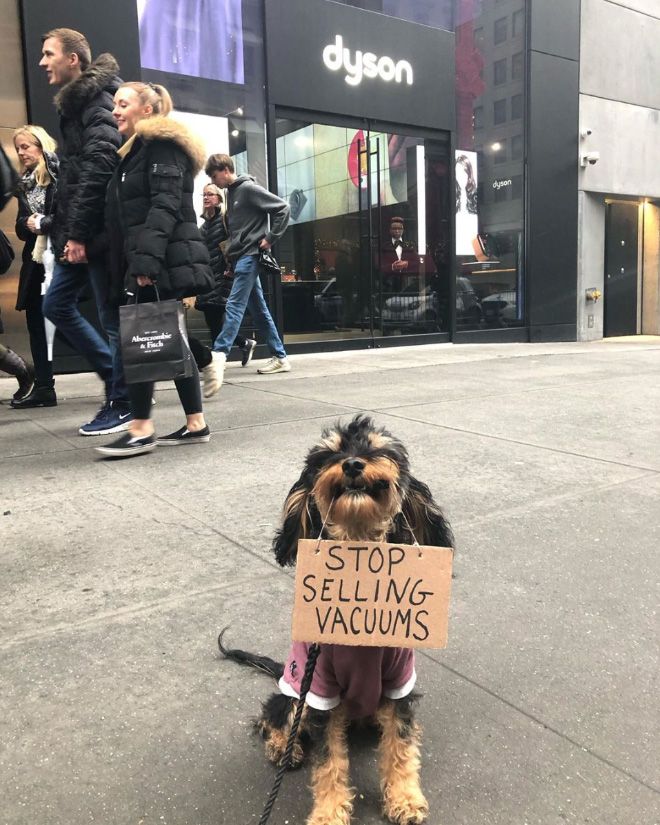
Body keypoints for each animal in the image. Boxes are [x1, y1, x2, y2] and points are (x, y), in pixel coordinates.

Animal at [220, 416, 454, 824]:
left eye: (376, 447)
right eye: (327, 455)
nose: (353, 464)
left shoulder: (399, 684)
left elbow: (401, 744)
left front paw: (405, 798)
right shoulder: (320, 692)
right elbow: (329, 760)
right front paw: (329, 813)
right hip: (296, 689)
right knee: (274, 714)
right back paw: (283, 747)